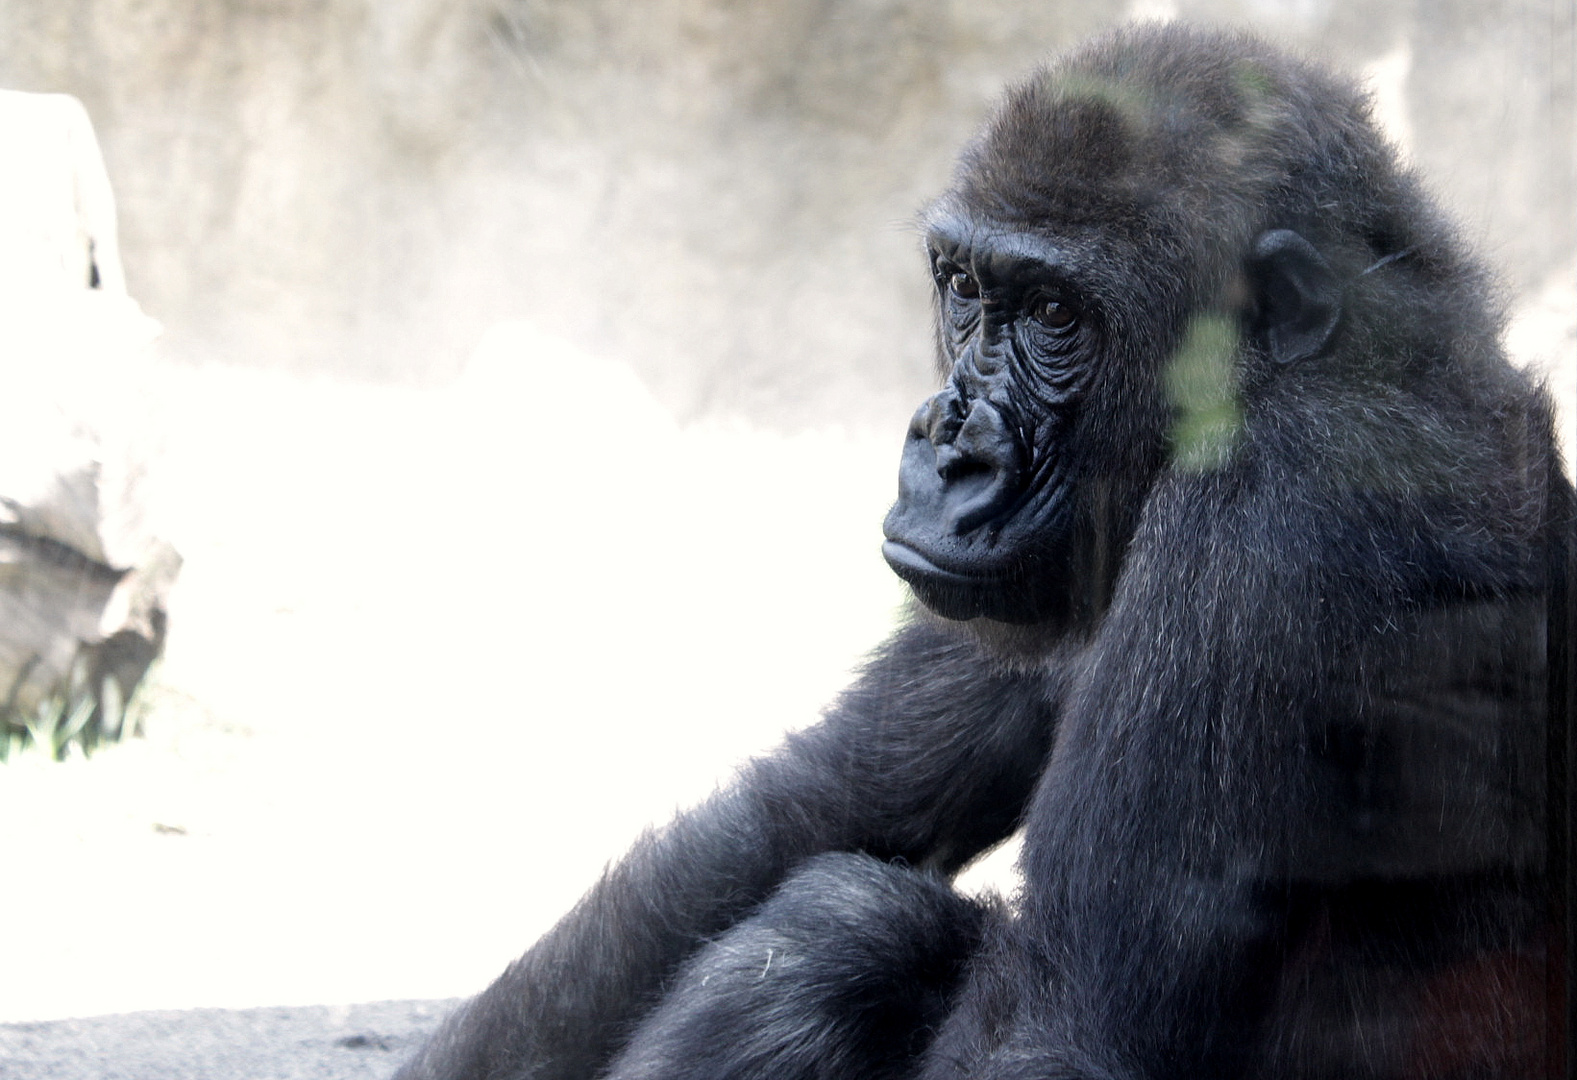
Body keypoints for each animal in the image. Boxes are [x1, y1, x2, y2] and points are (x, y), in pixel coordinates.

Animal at [400, 25, 1570, 1078]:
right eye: (961, 288)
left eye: (1054, 312)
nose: (947, 444)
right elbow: (809, 806)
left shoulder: (1273, 522)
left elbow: (1061, 1031)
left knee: (853, 925)